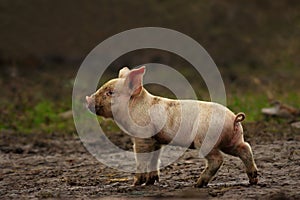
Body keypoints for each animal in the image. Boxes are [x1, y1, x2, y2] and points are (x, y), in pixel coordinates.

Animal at [85, 66, 258, 187]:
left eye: (110, 93)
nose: (87, 99)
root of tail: (234, 119)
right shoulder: (156, 141)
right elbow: (155, 159)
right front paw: (151, 181)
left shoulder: (142, 137)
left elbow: (142, 158)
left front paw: (136, 183)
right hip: (232, 140)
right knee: (245, 148)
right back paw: (253, 180)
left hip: (205, 140)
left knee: (217, 159)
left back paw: (198, 184)